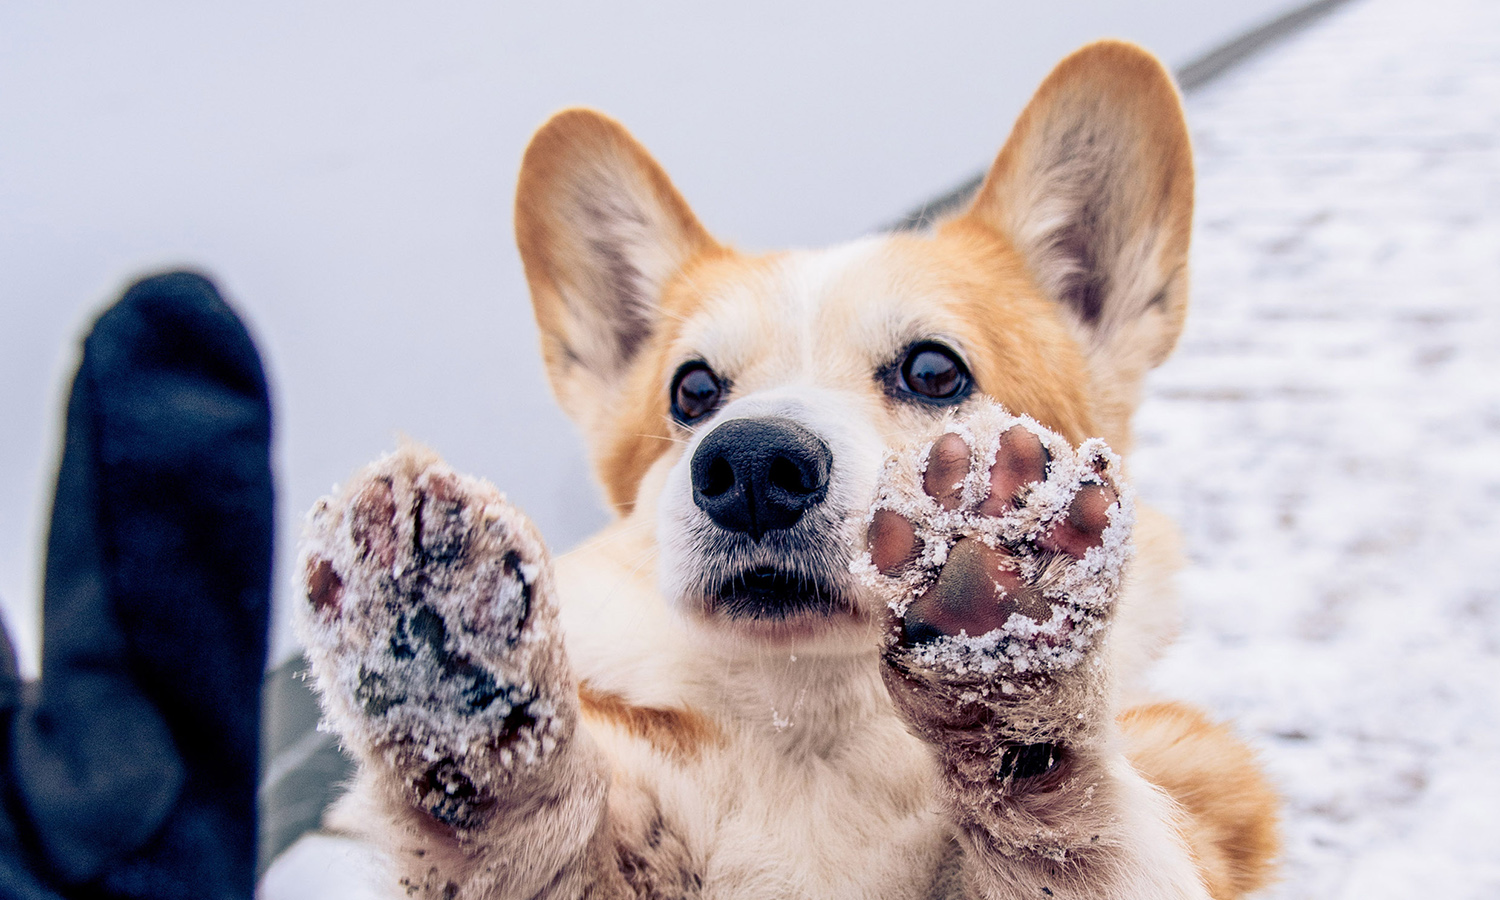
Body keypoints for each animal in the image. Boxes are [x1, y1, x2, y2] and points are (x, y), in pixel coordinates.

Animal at [292, 38, 1278, 900]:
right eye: (692, 390)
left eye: (934, 371)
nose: (754, 464)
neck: (814, 735)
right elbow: (536, 844)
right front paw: (447, 664)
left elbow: (1071, 831)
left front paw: (1004, 645)